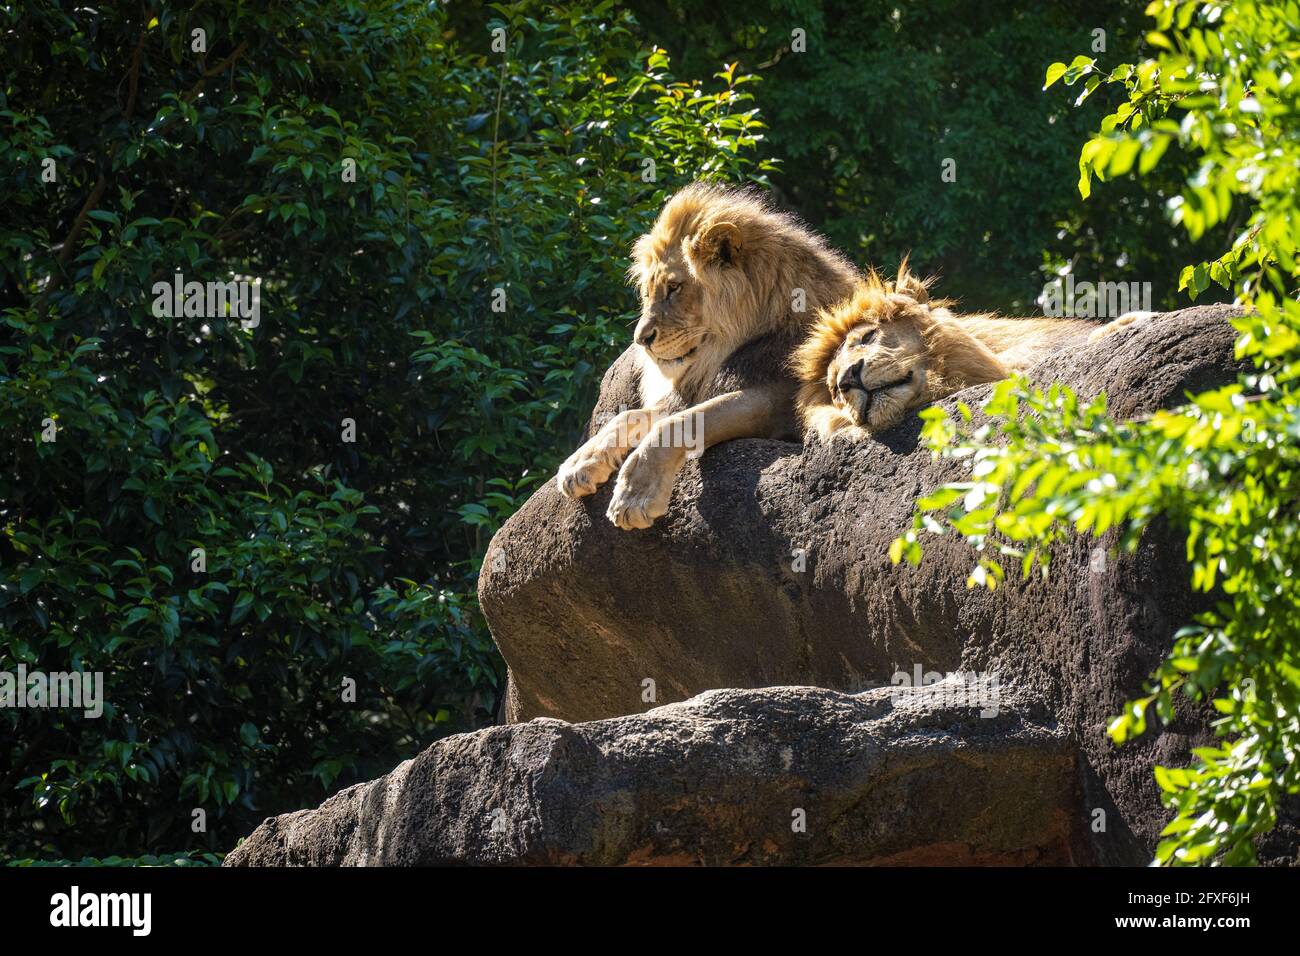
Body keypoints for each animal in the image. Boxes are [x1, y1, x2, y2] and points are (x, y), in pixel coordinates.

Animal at [553, 183, 857, 528]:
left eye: (674, 287)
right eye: (649, 291)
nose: (640, 339)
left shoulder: (778, 401)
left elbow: (680, 422)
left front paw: (636, 494)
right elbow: (630, 415)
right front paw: (580, 463)